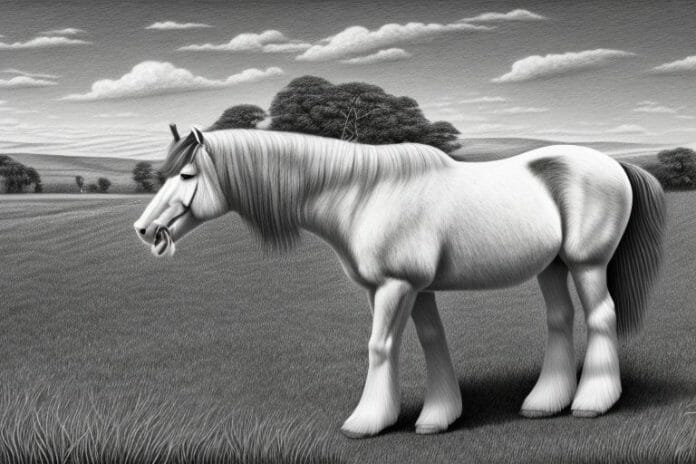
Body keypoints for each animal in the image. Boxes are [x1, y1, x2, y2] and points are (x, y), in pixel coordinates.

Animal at [134, 125, 666, 438]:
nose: (144, 231)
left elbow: (380, 347)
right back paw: (544, 403)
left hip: (586, 263)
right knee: (560, 318)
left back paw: (592, 402)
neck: (364, 194)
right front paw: (438, 417)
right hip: (552, 267)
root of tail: (616, 163)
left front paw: (366, 422)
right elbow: (430, 341)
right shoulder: (408, 289)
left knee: (600, 318)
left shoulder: (396, 287)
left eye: (186, 174)